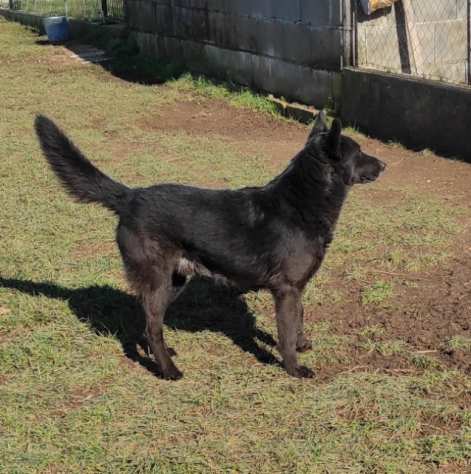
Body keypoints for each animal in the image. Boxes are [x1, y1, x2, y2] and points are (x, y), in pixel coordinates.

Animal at [34, 110, 388, 378]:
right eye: (360, 153)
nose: (384, 164)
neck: (302, 200)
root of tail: (131, 197)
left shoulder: (297, 289)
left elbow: (299, 319)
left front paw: (302, 345)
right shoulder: (286, 290)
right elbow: (285, 334)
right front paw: (293, 368)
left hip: (174, 282)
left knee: (149, 321)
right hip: (160, 281)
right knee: (152, 325)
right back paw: (168, 370)